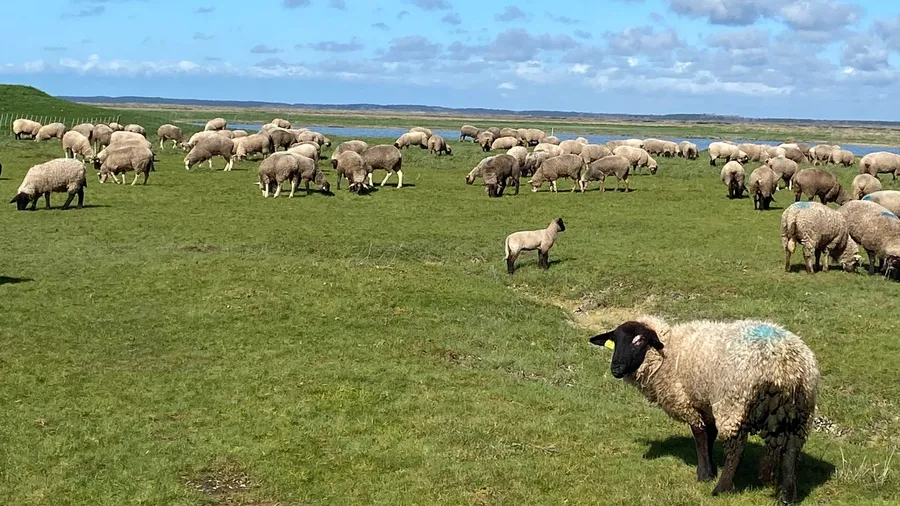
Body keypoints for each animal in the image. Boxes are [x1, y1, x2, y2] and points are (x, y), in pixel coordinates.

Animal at [589, 316, 819, 505]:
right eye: (614, 341)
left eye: (639, 341)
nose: (616, 368)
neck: (668, 352)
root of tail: (786, 366)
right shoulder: (705, 403)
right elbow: (709, 435)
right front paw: (709, 469)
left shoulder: (687, 402)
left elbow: (699, 436)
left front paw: (705, 475)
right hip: (802, 413)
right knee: (791, 450)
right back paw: (787, 496)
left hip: (733, 404)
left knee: (736, 448)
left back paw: (721, 488)